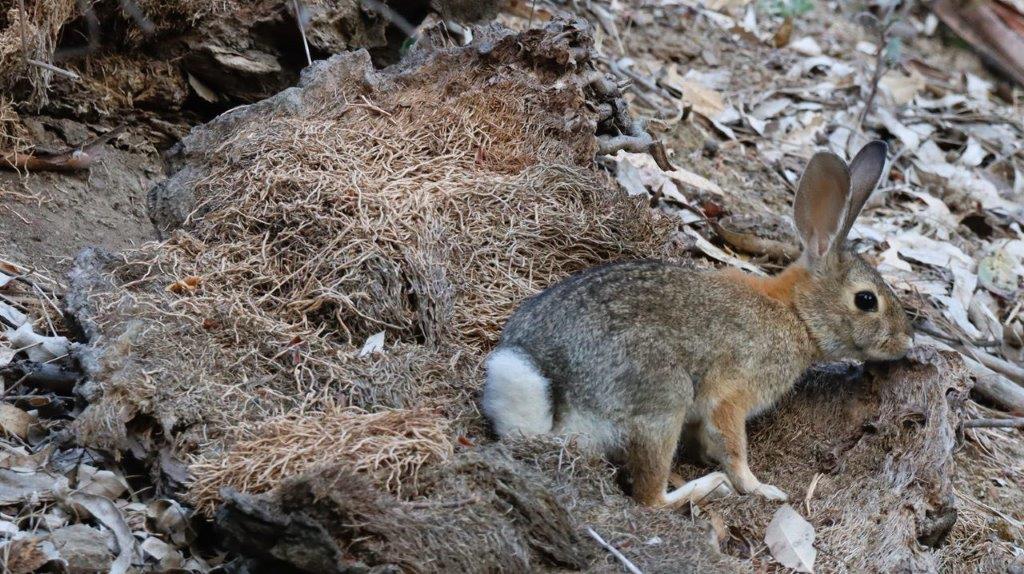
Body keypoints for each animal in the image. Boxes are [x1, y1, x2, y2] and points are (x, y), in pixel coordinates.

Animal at [479, 142, 913, 505]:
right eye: (866, 300)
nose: (907, 341)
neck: (796, 314)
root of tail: (553, 408)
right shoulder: (732, 395)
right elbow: (733, 446)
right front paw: (761, 488)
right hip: (663, 400)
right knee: (650, 500)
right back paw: (707, 487)